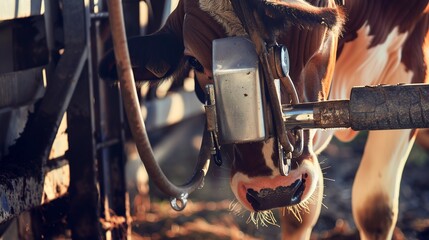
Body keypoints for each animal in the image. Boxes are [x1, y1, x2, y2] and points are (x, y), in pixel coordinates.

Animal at [99, 0, 428, 239]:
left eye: (316, 37)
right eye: (193, 61)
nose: (272, 191)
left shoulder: (412, 68)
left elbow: (374, 210)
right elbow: (299, 216)